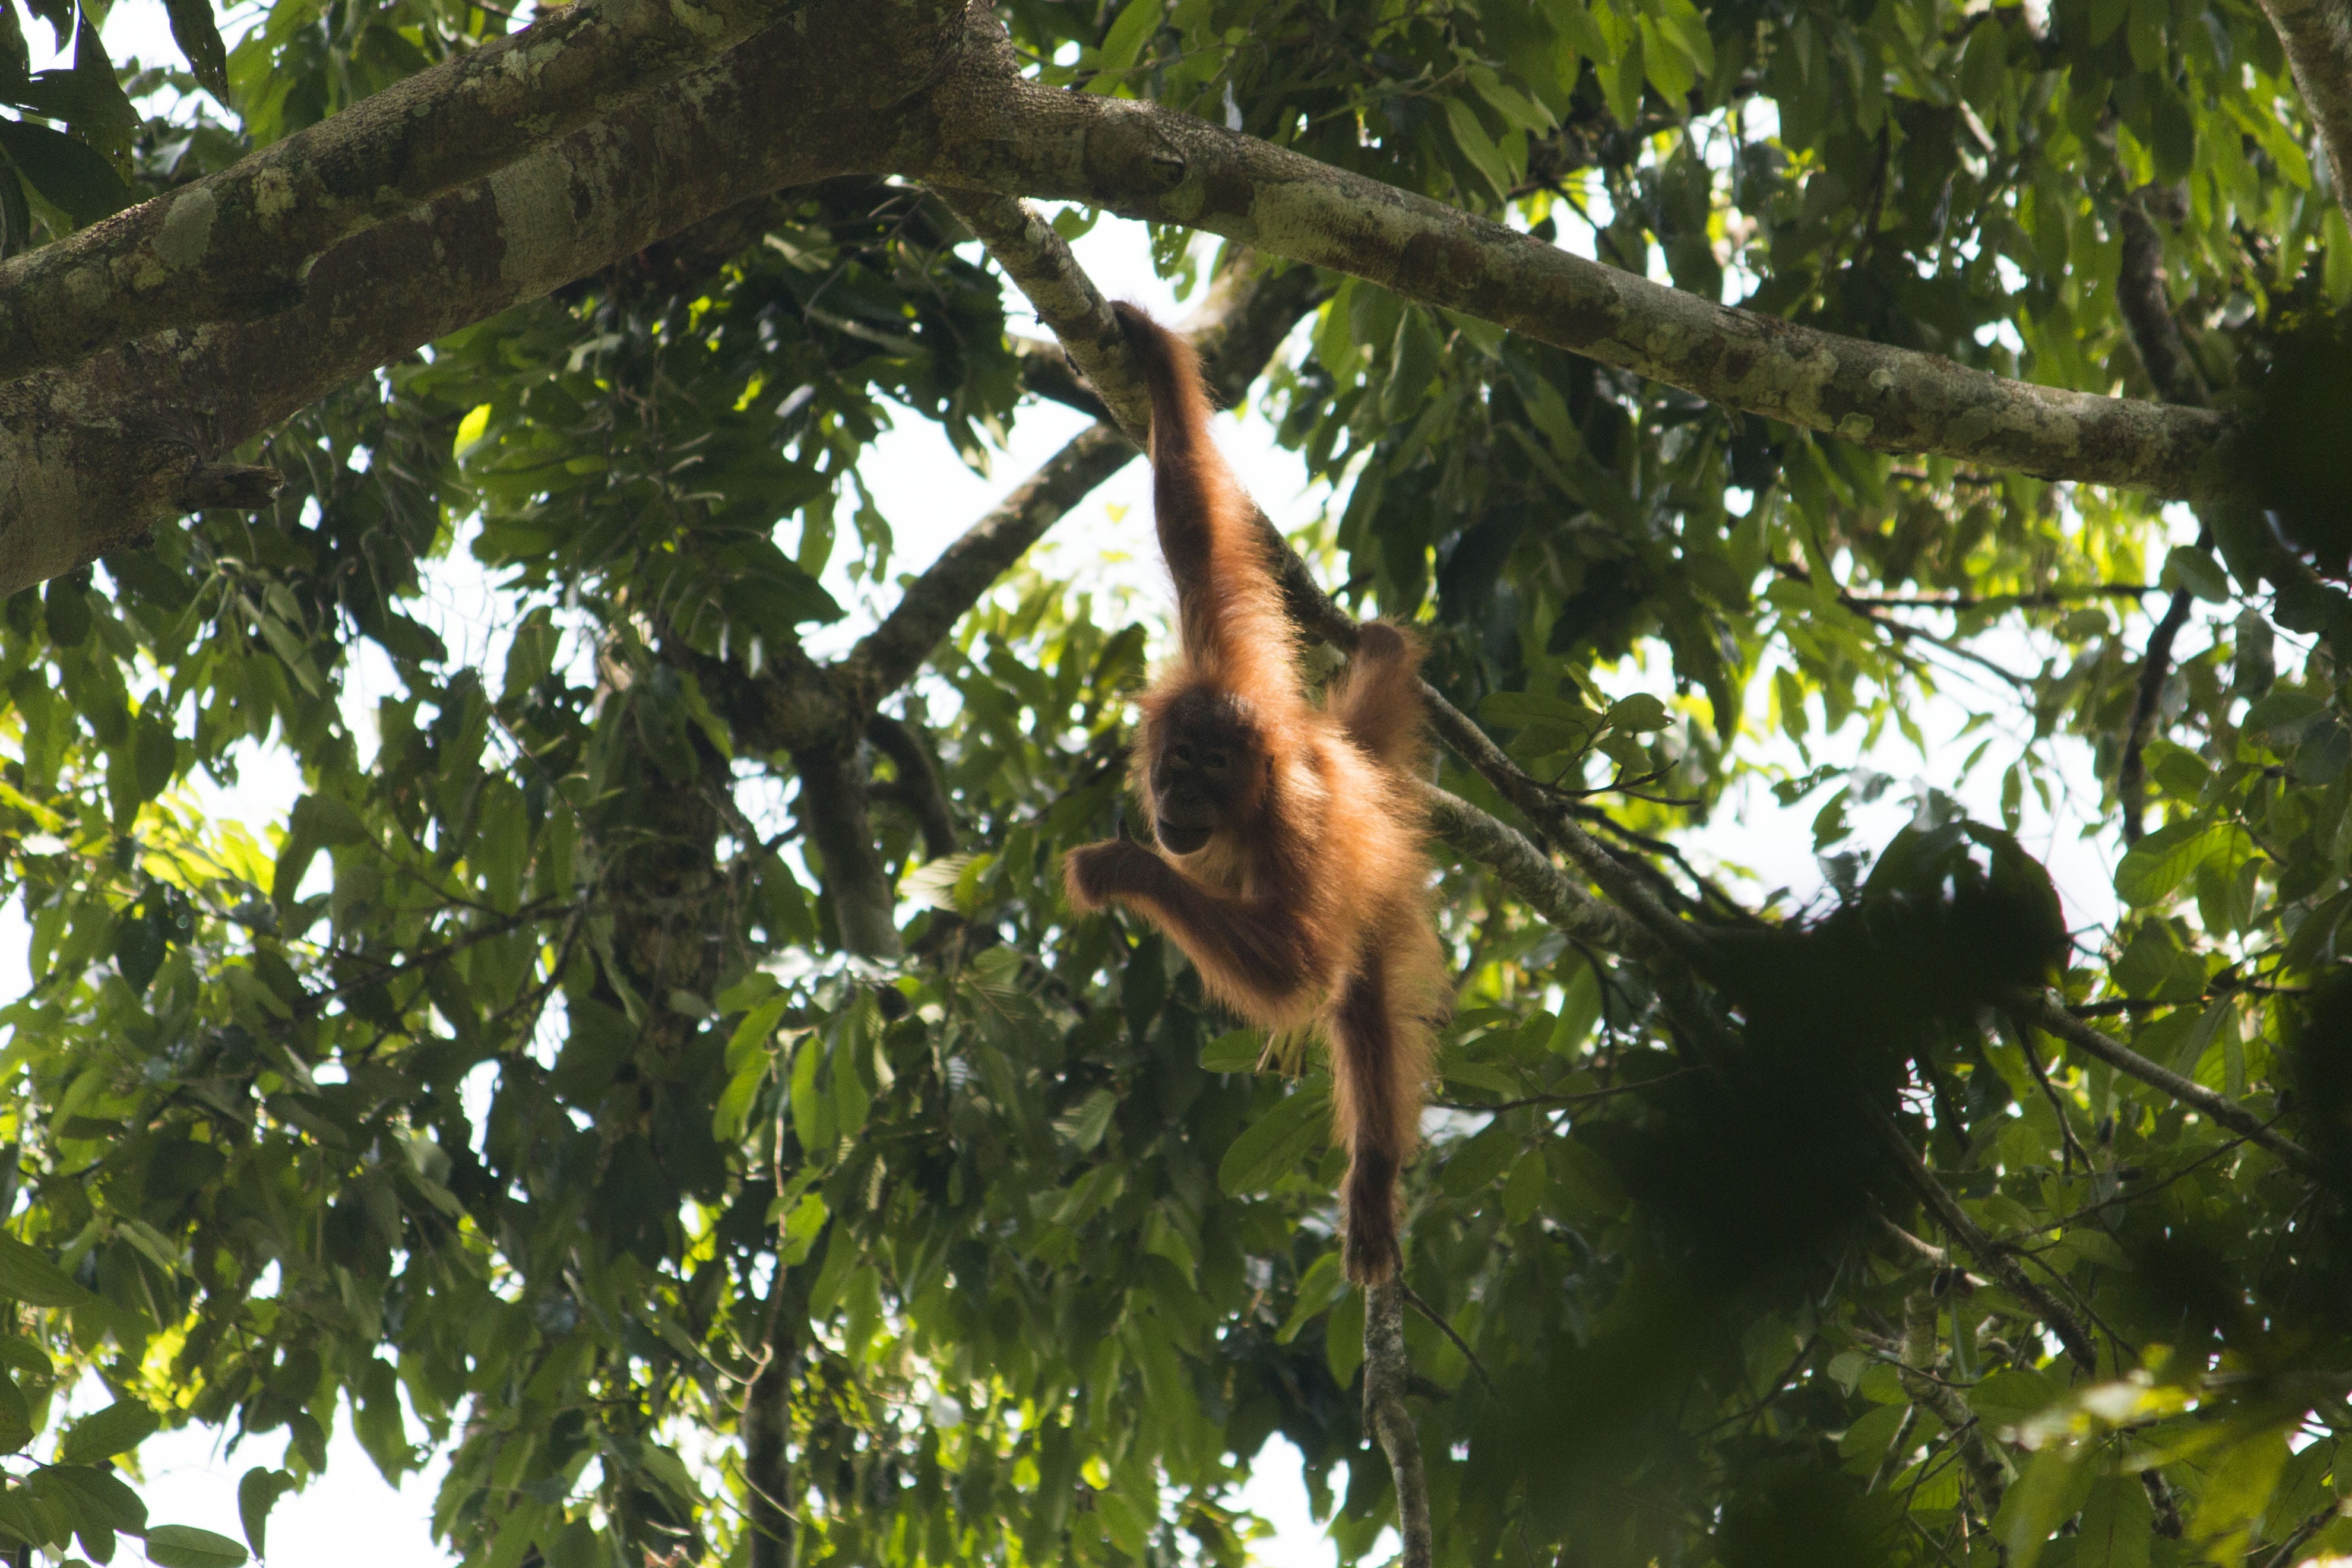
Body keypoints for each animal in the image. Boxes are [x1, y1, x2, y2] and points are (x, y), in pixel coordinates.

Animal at [1062, 302, 1447, 1285]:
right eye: (1178, 761)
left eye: (1215, 772)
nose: (1180, 804)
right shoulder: (1230, 663)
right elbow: (1193, 529)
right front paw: (1151, 351)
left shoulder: (1295, 827)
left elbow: (1294, 962)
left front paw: (1120, 866)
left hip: (1380, 890)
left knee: (1360, 1007)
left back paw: (1373, 1176)